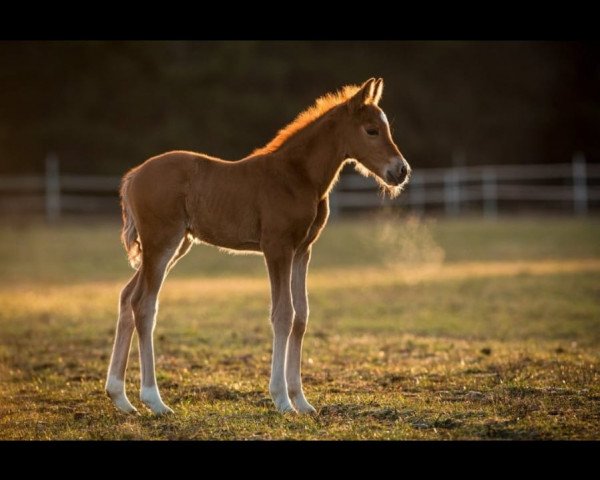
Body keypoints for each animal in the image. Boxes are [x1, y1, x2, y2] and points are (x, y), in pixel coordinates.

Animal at [105, 77, 410, 414]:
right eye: (371, 130)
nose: (401, 171)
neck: (296, 176)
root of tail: (132, 177)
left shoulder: (302, 250)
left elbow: (301, 316)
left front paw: (302, 401)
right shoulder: (277, 247)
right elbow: (283, 314)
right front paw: (282, 400)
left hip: (173, 245)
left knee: (127, 296)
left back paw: (120, 397)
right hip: (162, 243)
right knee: (144, 305)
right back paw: (154, 400)